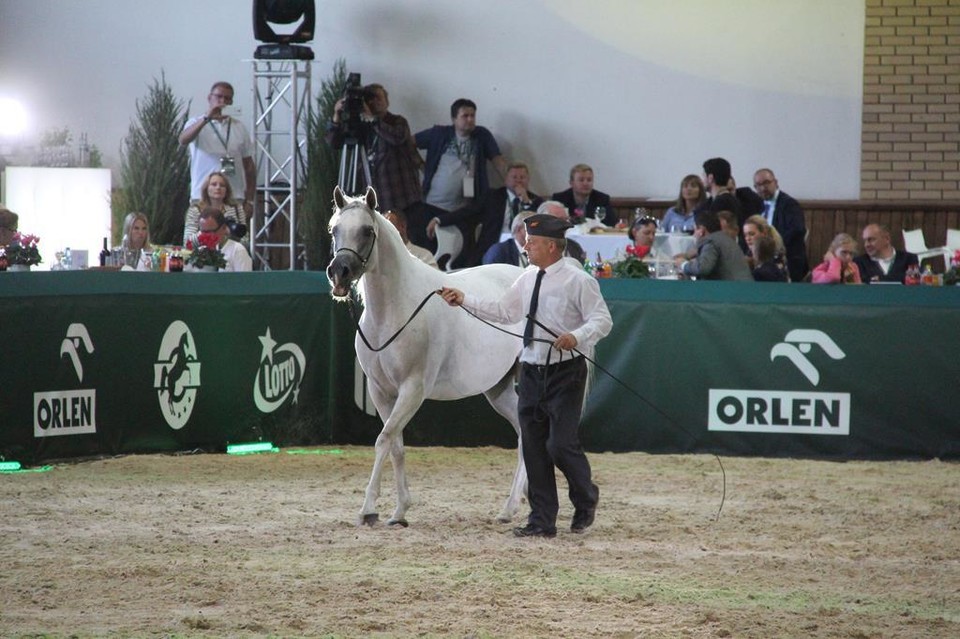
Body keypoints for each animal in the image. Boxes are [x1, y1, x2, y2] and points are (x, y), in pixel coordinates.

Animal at [328, 188, 524, 528]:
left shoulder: (413, 389)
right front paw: (399, 512)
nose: (339, 273)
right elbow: (396, 445)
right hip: (498, 389)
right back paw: (509, 508)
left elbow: (384, 439)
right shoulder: (381, 391)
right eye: (334, 230)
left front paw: (369, 509)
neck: (396, 311)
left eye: (367, 231)